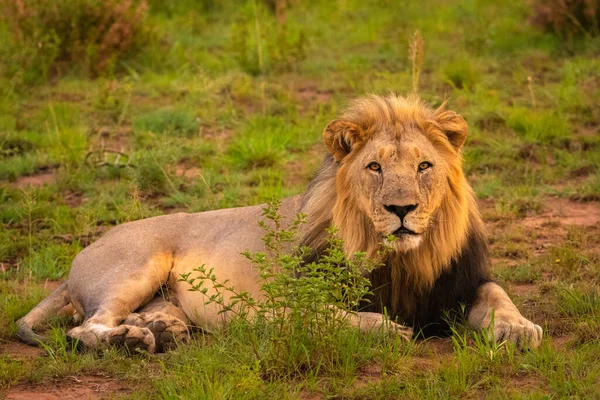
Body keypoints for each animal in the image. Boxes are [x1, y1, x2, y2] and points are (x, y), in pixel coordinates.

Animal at [17, 94, 544, 354]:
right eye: (375, 167)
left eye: (424, 166)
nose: (401, 210)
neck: (398, 261)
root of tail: (80, 255)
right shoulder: (272, 306)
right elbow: (329, 316)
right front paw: (384, 328)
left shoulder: (460, 284)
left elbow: (499, 295)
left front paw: (519, 329)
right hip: (136, 263)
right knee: (86, 327)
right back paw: (129, 340)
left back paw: (160, 330)